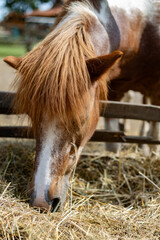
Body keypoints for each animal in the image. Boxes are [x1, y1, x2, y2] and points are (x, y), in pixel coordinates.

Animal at [4, 0, 159, 210]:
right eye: (32, 116)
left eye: (81, 118)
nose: (41, 201)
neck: (141, 25)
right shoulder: (114, 91)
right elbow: (113, 144)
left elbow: (154, 134)